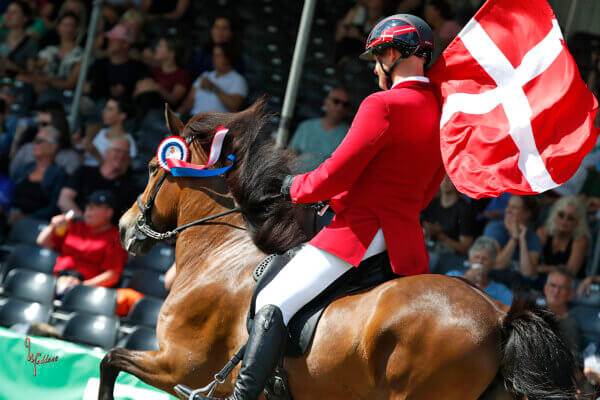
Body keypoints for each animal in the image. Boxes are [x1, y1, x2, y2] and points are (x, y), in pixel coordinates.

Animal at [99, 101, 580, 400]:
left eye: (151, 168)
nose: (124, 227)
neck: (219, 256)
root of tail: (501, 316)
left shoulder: (181, 368)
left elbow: (108, 359)